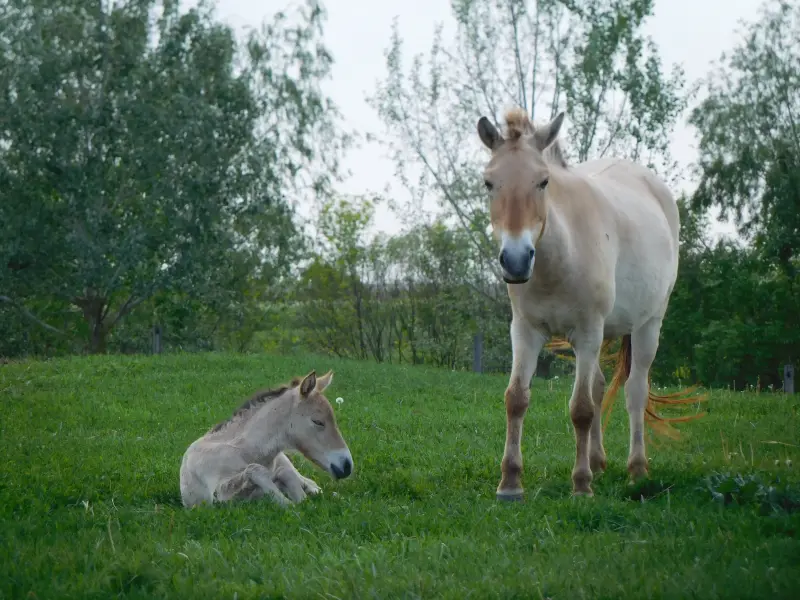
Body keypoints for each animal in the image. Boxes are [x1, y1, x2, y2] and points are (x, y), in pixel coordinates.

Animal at [181, 370, 356, 506]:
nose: (347, 466)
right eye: (318, 421)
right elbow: (255, 470)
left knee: (311, 484)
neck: (247, 451)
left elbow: (285, 475)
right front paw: (290, 503)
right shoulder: (219, 494)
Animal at [478, 106, 704, 496]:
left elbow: (581, 408)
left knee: (635, 391)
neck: (560, 258)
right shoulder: (525, 332)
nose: (517, 261)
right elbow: (516, 399)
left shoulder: (587, 333)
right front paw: (510, 482)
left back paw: (636, 469)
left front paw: (581, 485)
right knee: (600, 387)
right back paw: (598, 462)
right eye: (489, 183)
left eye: (543, 182)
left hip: (648, 326)